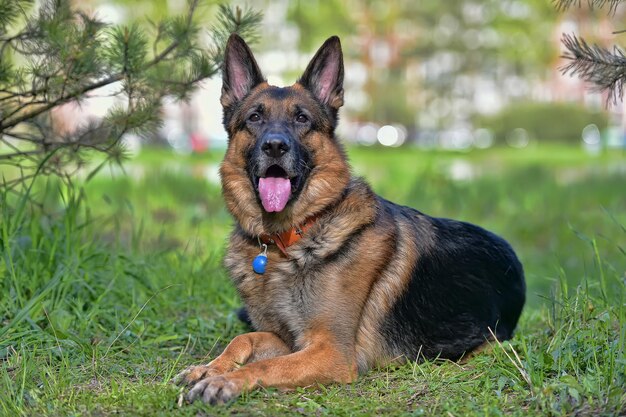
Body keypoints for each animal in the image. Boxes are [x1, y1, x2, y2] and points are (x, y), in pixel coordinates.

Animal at [176, 34, 520, 404]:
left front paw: (225, 381)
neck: (290, 240)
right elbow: (244, 339)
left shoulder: (332, 352)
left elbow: (265, 365)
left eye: (302, 119)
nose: (275, 146)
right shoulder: (285, 338)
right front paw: (209, 367)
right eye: (254, 117)